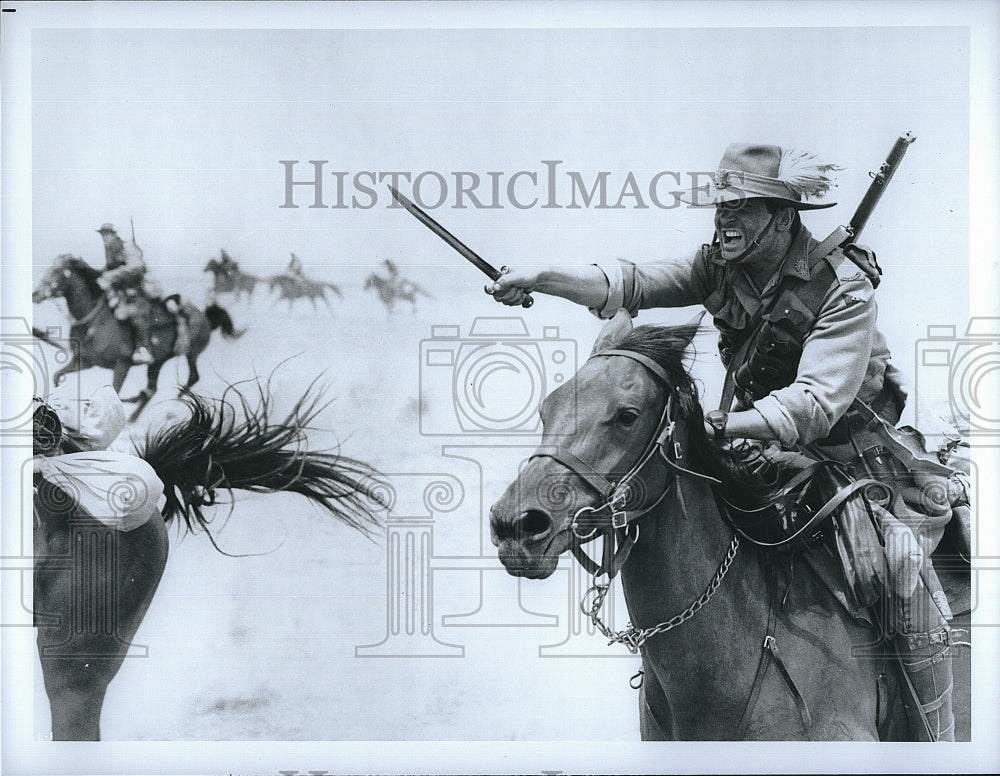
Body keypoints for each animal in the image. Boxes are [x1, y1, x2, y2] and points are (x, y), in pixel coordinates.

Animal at [33, 256, 242, 422]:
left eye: (58, 271)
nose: (35, 294)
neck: (95, 320)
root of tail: (205, 317)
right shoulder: (85, 361)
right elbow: (57, 375)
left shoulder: (122, 364)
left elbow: (114, 392)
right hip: (157, 361)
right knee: (152, 389)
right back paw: (135, 413)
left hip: (191, 353)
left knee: (192, 377)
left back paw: (168, 408)